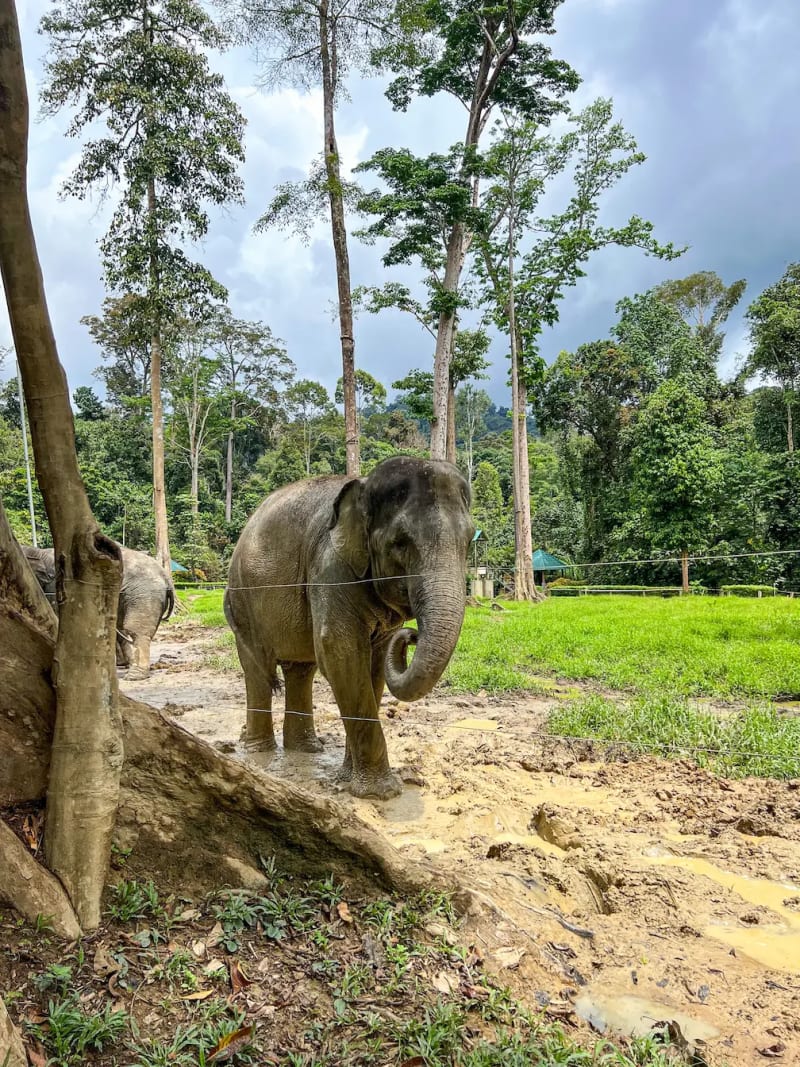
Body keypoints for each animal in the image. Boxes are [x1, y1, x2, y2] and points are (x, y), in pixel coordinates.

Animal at [21, 543, 175, 679]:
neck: (38, 552)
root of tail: (166, 577)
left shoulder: (56, 587)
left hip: (145, 595)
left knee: (136, 631)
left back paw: (134, 675)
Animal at [224, 455, 474, 799]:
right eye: (400, 543)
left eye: (470, 540)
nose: (411, 636)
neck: (363, 485)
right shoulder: (330, 567)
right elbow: (339, 651)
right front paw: (380, 793)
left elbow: (374, 666)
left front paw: (346, 778)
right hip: (243, 602)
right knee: (257, 669)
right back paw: (260, 752)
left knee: (301, 669)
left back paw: (306, 749)